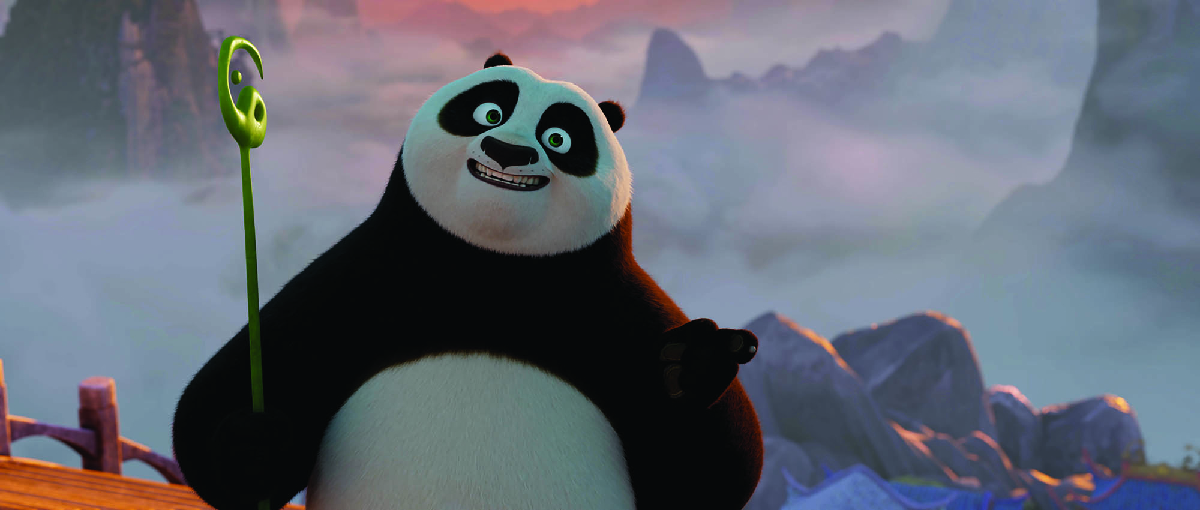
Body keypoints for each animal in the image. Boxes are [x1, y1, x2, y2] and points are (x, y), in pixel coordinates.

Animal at [172, 53, 763, 510]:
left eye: (559, 137)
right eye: (488, 112)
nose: (508, 152)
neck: (489, 271)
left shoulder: (614, 309)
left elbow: (711, 477)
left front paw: (692, 366)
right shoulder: (355, 284)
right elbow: (216, 405)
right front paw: (255, 445)